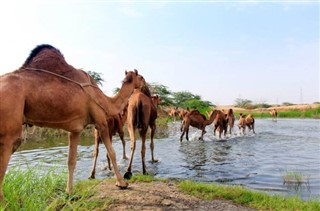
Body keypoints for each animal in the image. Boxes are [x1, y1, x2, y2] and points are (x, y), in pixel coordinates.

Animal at [0, 44, 146, 201]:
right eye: (141, 77)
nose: (145, 84)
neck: (105, 100)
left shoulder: (75, 129)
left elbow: (71, 160)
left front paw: (69, 193)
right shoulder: (100, 121)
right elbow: (111, 152)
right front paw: (122, 183)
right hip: (9, 129)